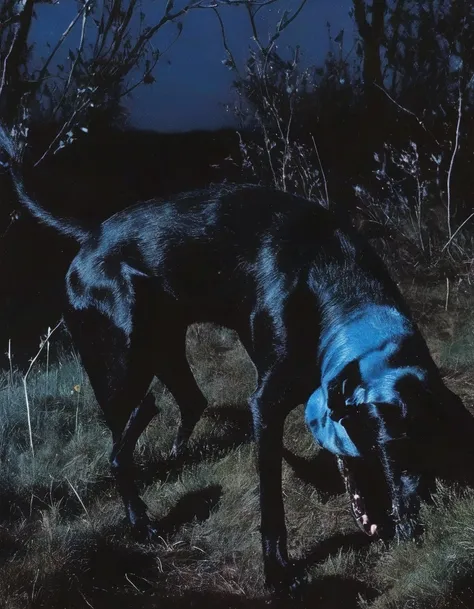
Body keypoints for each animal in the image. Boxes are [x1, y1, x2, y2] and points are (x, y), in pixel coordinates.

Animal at [0, 126, 474, 592]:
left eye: (435, 447)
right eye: (388, 448)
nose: (411, 528)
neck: (340, 285)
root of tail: (90, 234)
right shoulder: (268, 403)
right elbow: (271, 501)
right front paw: (278, 571)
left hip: (164, 346)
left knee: (186, 403)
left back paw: (175, 454)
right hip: (122, 361)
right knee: (122, 444)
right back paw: (140, 519)